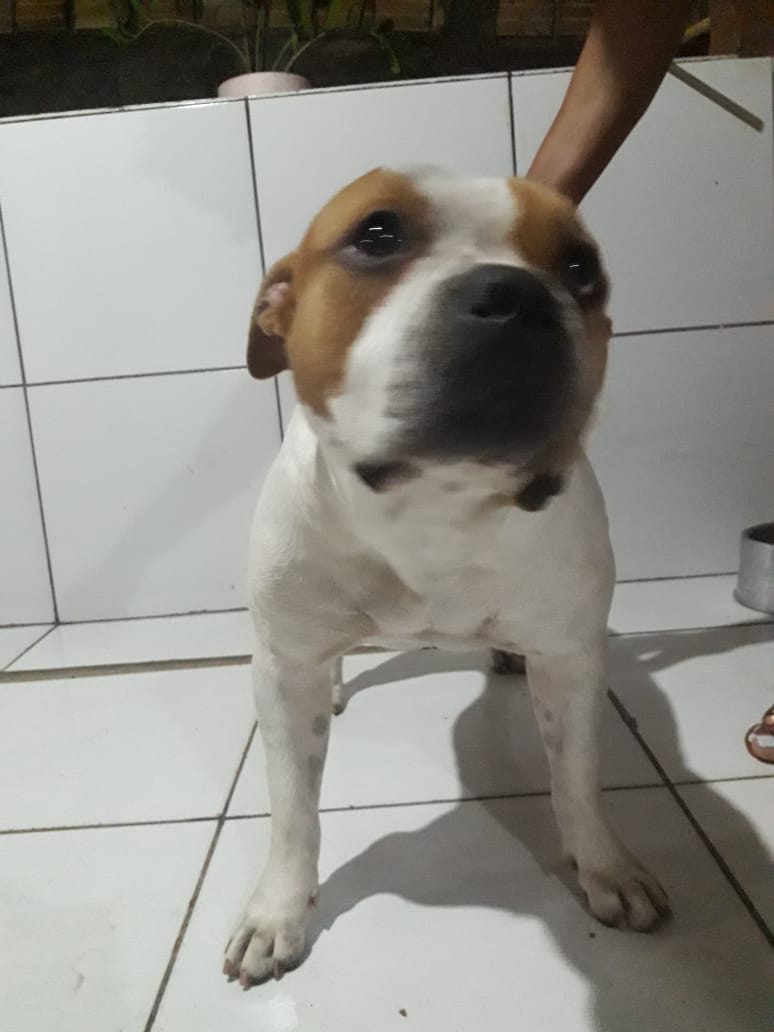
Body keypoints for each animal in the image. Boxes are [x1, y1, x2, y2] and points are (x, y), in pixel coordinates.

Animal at [223, 167, 671, 987]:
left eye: (580, 267)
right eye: (376, 234)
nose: (519, 296)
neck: (432, 510)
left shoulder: (569, 659)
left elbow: (578, 778)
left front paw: (606, 868)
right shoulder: (282, 667)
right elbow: (294, 809)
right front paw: (277, 913)